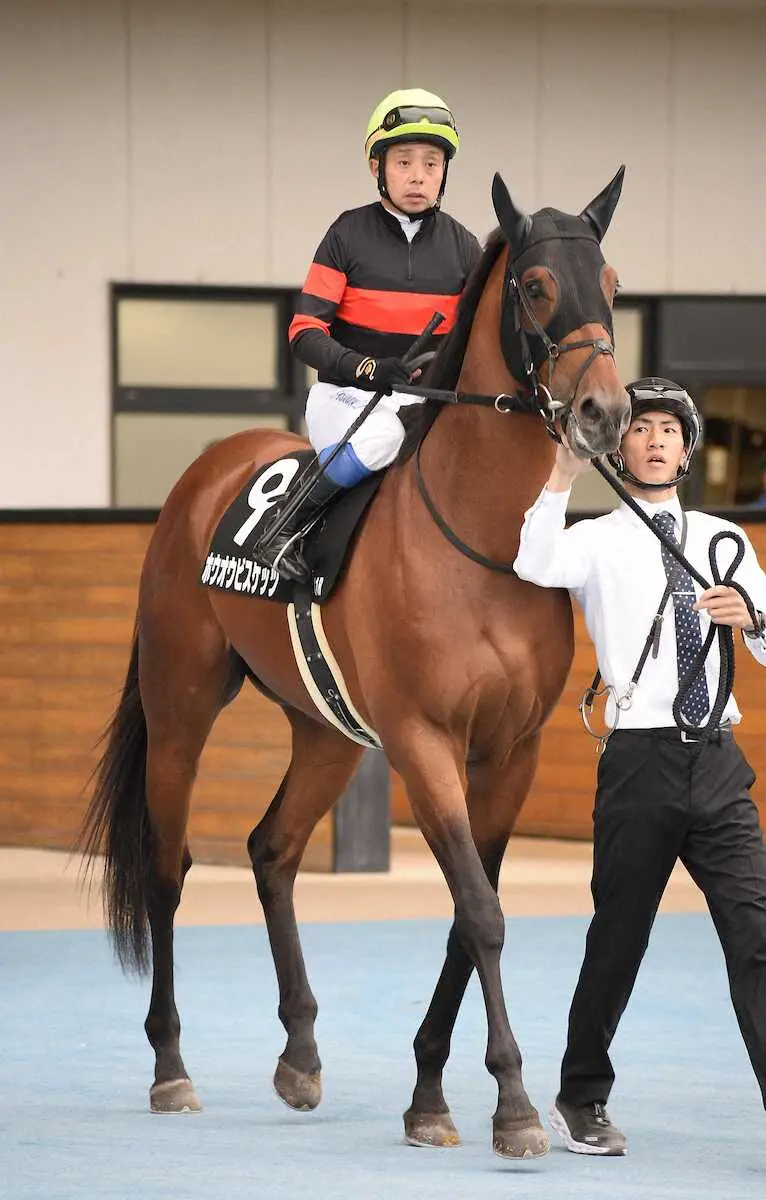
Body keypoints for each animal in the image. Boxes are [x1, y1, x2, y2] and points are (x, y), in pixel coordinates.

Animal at [82, 164, 633, 1156]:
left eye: (611, 284)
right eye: (536, 287)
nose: (606, 413)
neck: (485, 543)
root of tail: (209, 469)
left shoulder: (512, 751)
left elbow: (467, 913)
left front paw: (430, 1093)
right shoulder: (423, 741)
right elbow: (481, 913)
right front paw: (513, 1104)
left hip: (328, 732)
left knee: (271, 848)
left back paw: (300, 1054)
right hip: (182, 707)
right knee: (168, 872)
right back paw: (171, 1067)